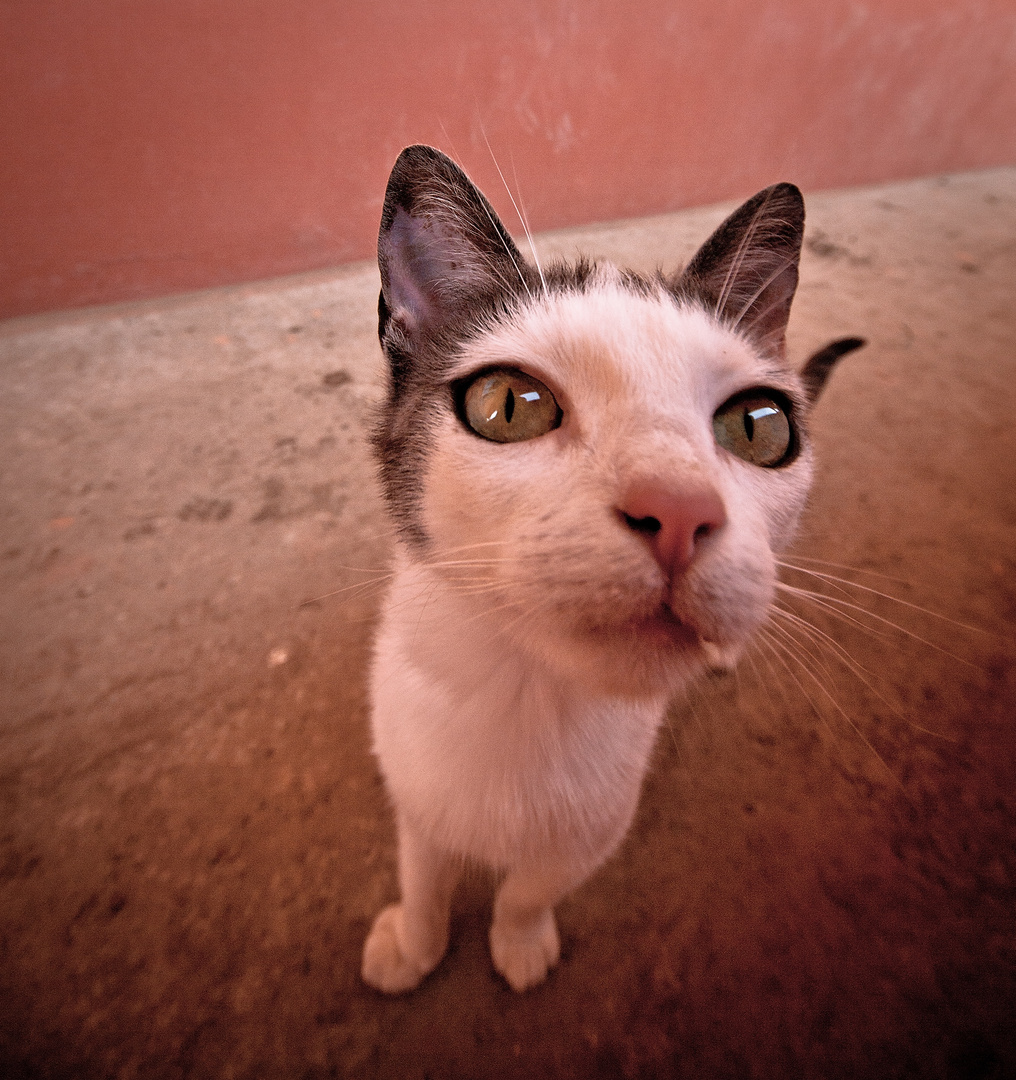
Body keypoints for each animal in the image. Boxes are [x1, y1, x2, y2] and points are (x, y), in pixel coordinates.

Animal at [360, 145, 859, 993]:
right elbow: (423, 866)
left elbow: (530, 887)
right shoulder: (413, 779)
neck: (526, 697)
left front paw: (520, 944)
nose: (679, 511)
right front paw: (414, 943)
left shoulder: (598, 825)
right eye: (509, 404)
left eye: (759, 426)